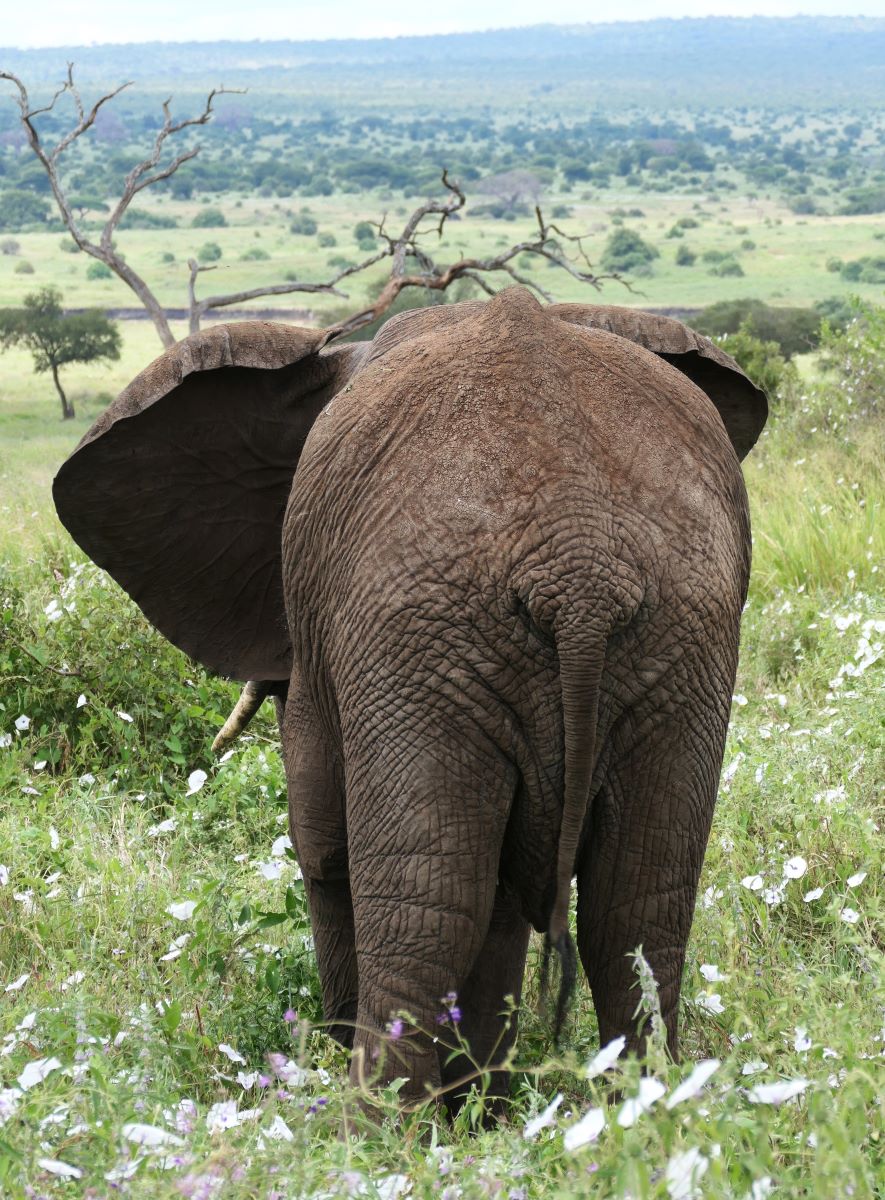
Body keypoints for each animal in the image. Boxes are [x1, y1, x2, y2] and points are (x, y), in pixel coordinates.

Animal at [51, 288, 762, 1104]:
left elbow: (322, 844)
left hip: (419, 627)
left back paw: (375, 1120)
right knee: (638, 907)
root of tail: (576, 559)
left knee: (426, 904)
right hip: (677, 634)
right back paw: (640, 1110)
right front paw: (482, 1109)